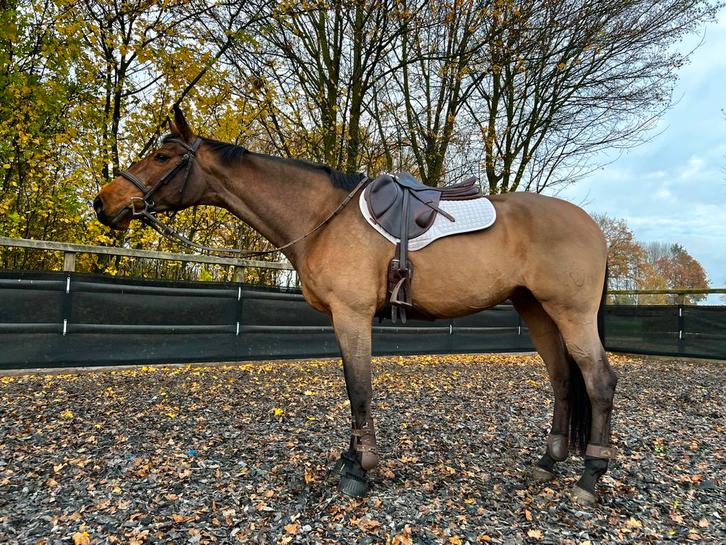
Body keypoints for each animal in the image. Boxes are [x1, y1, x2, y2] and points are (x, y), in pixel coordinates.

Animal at [93, 106, 618, 505]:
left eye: (162, 156)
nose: (103, 203)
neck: (323, 219)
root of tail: (592, 226)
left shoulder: (353, 316)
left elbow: (359, 390)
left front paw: (359, 471)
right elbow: (353, 390)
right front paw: (349, 460)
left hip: (570, 313)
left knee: (598, 382)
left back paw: (590, 478)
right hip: (536, 310)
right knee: (562, 380)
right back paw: (548, 462)